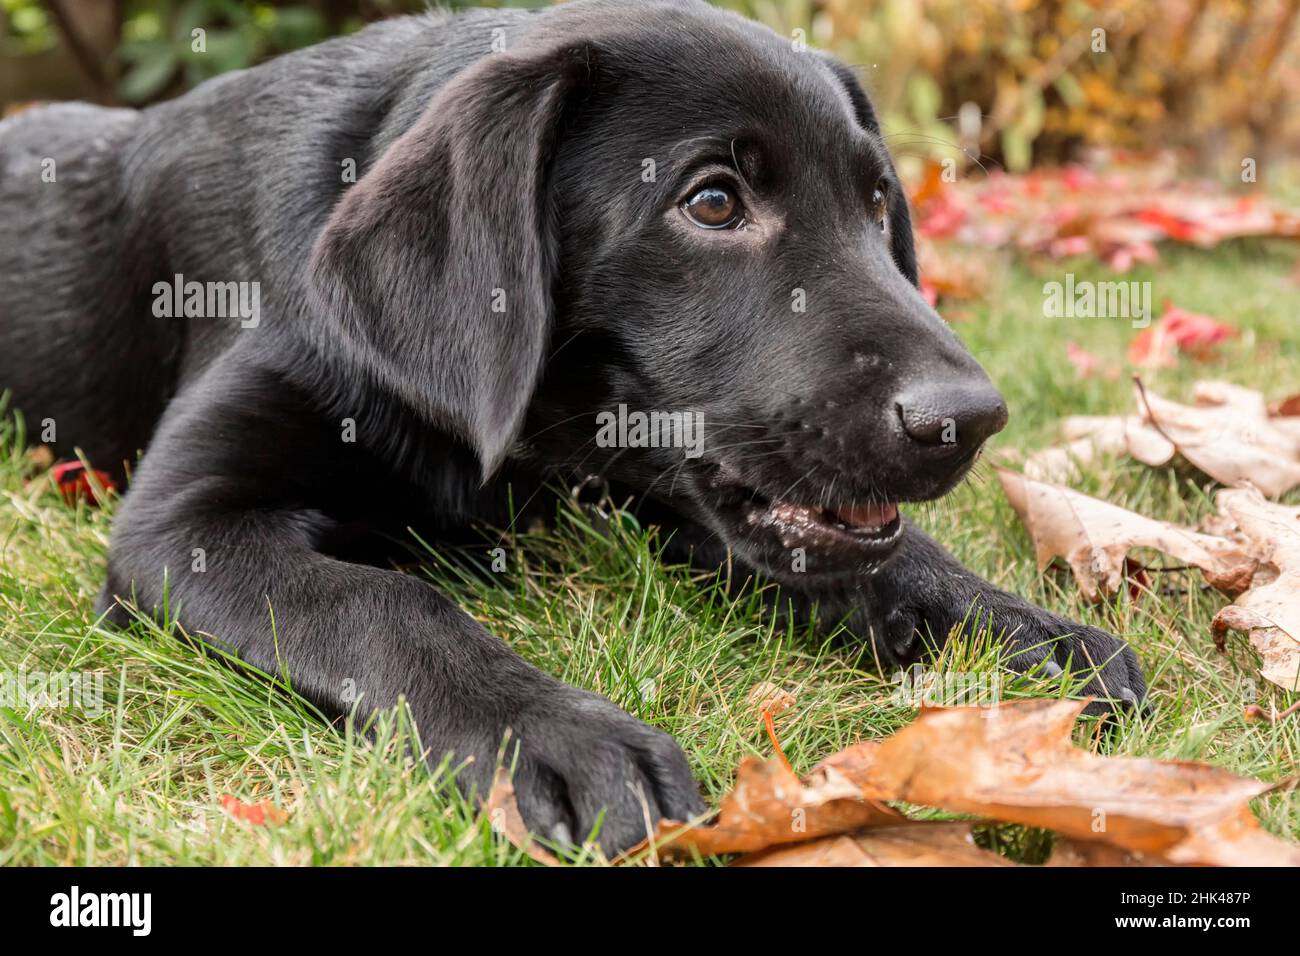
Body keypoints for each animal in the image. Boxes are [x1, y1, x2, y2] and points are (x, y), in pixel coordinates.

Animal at [0, 0, 1138, 853]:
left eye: (876, 205)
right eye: (713, 202)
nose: (971, 419)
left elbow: (889, 558)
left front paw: (1018, 627)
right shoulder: (181, 524)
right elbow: (383, 601)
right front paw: (554, 734)